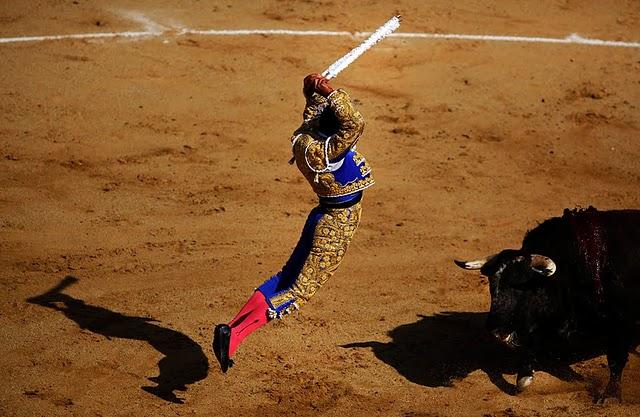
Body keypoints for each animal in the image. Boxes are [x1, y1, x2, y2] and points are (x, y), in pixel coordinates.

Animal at [456, 206, 640, 402]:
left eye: (522, 286)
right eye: (492, 285)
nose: (497, 332)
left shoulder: (620, 323)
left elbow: (615, 359)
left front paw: (611, 395)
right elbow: (530, 346)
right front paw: (524, 378)